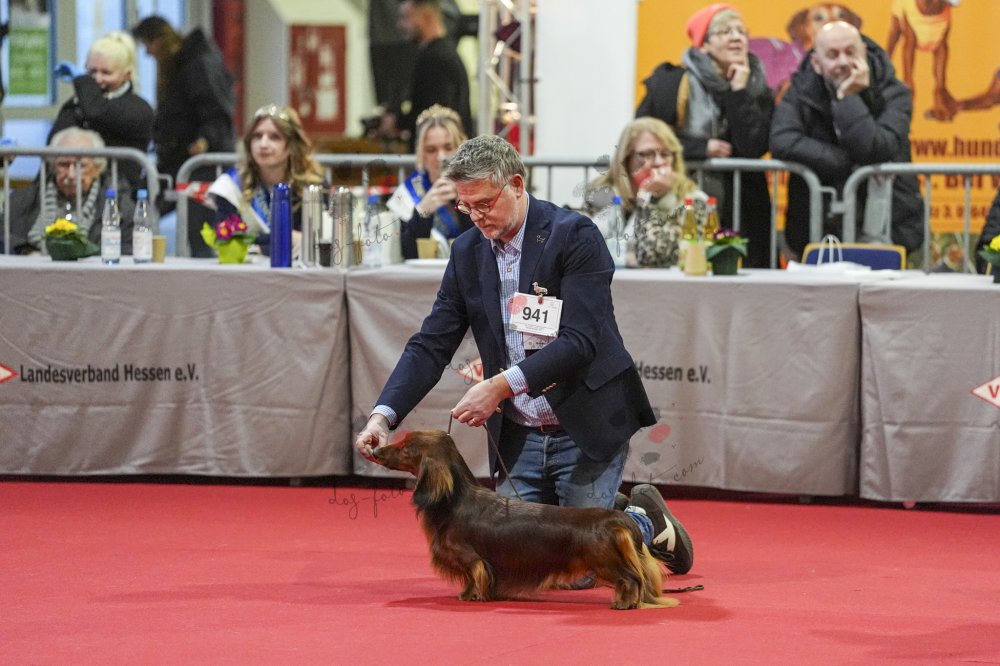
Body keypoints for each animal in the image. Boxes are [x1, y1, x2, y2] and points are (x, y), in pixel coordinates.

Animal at [373, 429, 677, 610]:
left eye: (405, 447)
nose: (375, 451)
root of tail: (615, 518)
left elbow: (475, 574)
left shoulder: (471, 557)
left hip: (605, 561)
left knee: (632, 578)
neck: (455, 501)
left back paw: (625, 602)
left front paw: (471, 595)